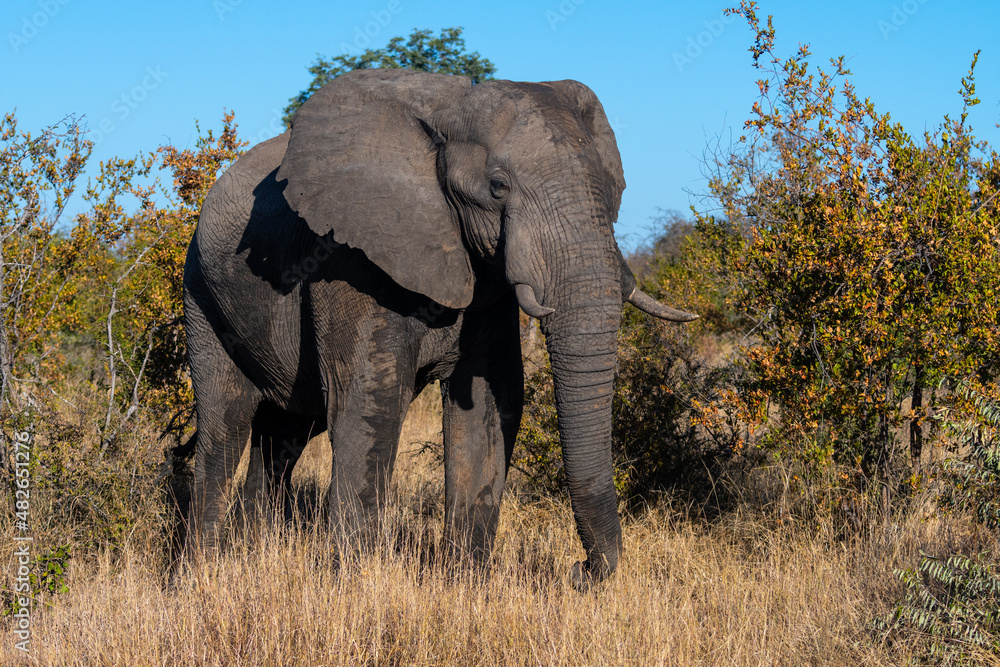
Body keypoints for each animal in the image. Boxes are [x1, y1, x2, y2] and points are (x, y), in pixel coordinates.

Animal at [183, 68, 696, 588]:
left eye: (612, 190)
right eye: (497, 187)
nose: (578, 570)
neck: (449, 109)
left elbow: (491, 403)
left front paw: (465, 583)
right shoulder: (350, 259)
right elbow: (371, 400)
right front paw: (355, 585)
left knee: (284, 433)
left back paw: (250, 555)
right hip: (203, 295)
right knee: (225, 427)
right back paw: (202, 573)